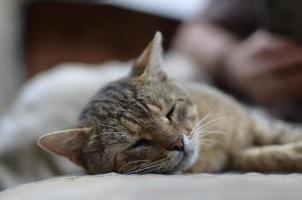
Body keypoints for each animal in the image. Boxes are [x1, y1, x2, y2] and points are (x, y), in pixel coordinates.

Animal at [38, 32, 302, 174]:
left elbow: (280, 134)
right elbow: (266, 157)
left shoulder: (255, 121)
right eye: (138, 143)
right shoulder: (235, 158)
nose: (179, 143)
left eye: (170, 111)